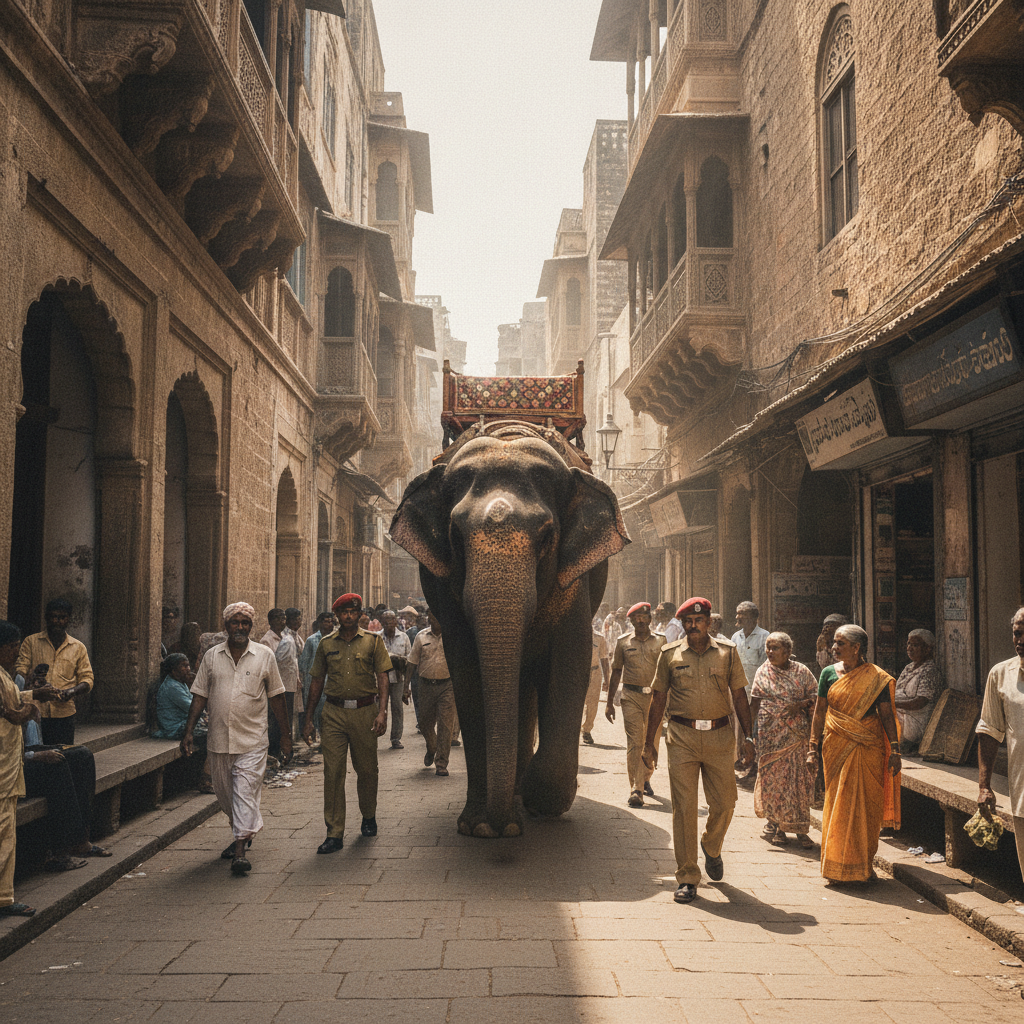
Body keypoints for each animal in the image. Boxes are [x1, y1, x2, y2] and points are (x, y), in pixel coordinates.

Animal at [390, 420, 629, 837]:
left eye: (547, 536)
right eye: (455, 537)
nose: (503, 826)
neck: (509, 440)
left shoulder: (573, 583)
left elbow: (572, 659)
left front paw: (538, 802)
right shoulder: (447, 594)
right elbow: (466, 673)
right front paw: (479, 827)